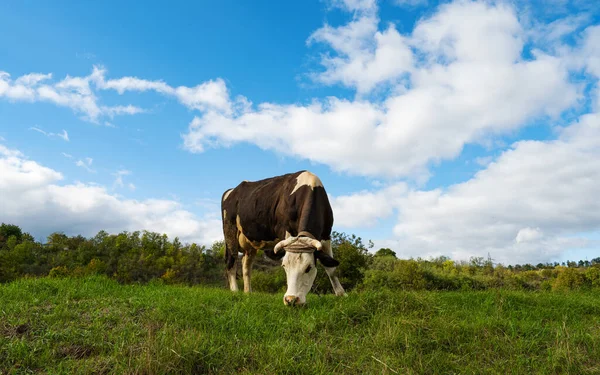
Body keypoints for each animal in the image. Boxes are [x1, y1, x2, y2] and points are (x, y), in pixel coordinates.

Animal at [221, 172, 346, 306]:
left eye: (308, 268)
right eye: (284, 266)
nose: (291, 300)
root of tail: (232, 190)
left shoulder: (326, 235)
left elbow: (331, 268)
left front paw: (341, 294)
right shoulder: (285, 232)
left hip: (250, 242)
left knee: (246, 266)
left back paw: (248, 292)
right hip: (230, 232)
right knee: (231, 261)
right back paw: (235, 291)